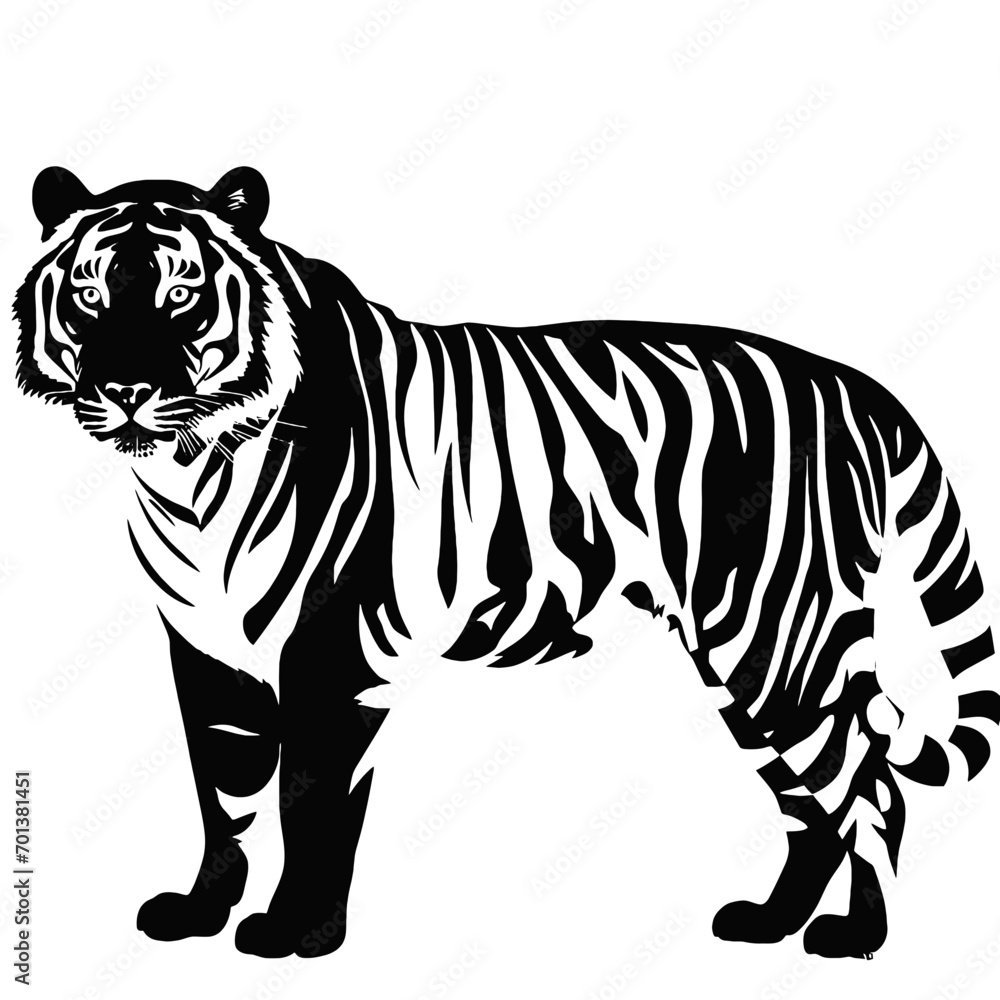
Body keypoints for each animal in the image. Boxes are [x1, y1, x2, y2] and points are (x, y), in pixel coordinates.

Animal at [15, 165, 998, 961]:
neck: (189, 474)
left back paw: (855, 938)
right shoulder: (209, 656)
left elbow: (310, 802)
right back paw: (769, 923)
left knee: (870, 786)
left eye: (181, 294)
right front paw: (201, 912)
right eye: (91, 295)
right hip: (746, 665)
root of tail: (855, 385)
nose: (127, 390)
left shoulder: (334, 658)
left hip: (780, 643)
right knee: (813, 803)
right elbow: (223, 796)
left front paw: (296, 934)